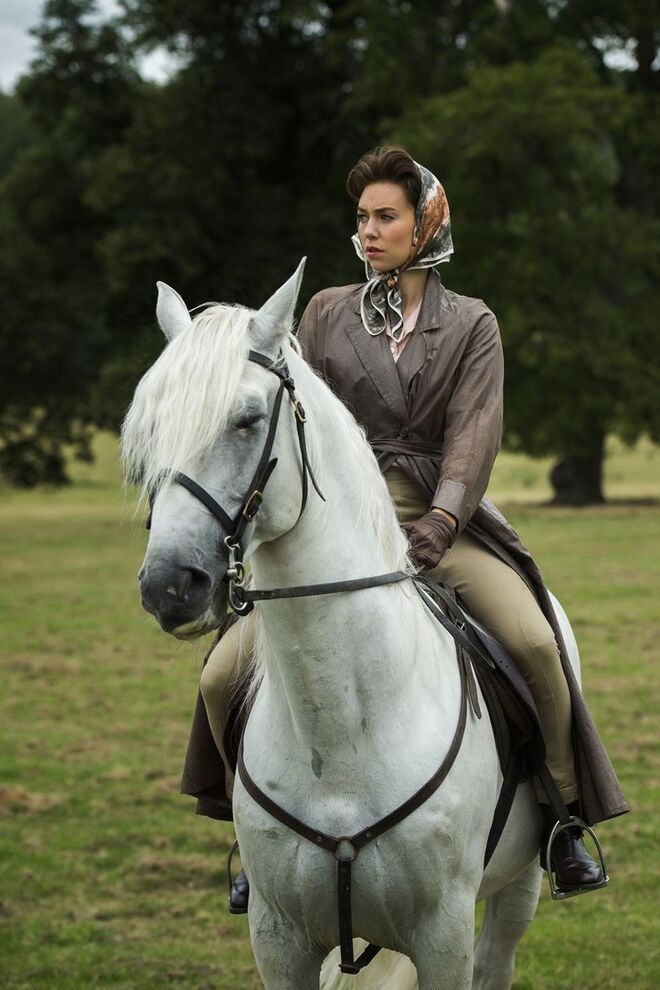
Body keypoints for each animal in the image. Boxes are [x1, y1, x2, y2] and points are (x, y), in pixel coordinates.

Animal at [122, 261, 583, 989]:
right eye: (151, 429)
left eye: (246, 420)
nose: (169, 585)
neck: (340, 721)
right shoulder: (279, 939)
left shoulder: (443, 936)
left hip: (518, 889)